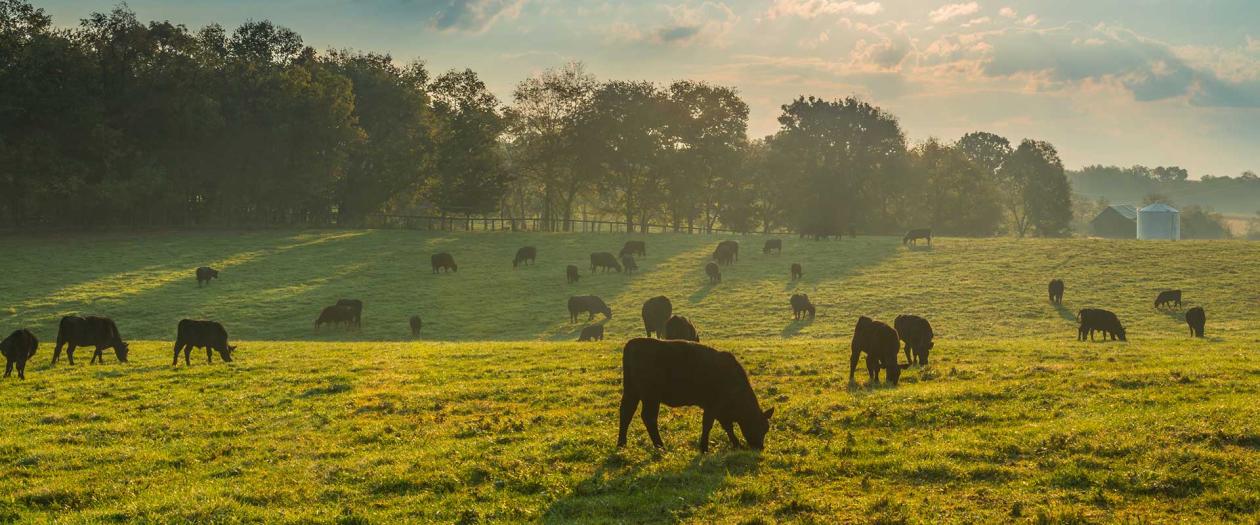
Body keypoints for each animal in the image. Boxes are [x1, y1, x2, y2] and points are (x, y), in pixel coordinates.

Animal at [617, 338, 774, 452]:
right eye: (761, 426)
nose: (760, 447)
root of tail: (633, 343)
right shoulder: (712, 406)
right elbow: (708, 425)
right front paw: (704, 448)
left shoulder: (721, 411)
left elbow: (727, 427)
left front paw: (736, 444)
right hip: (650, 396)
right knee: (648, 417)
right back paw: (660, 446)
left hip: (632, 392)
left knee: (626, 413)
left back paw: (621, 444)